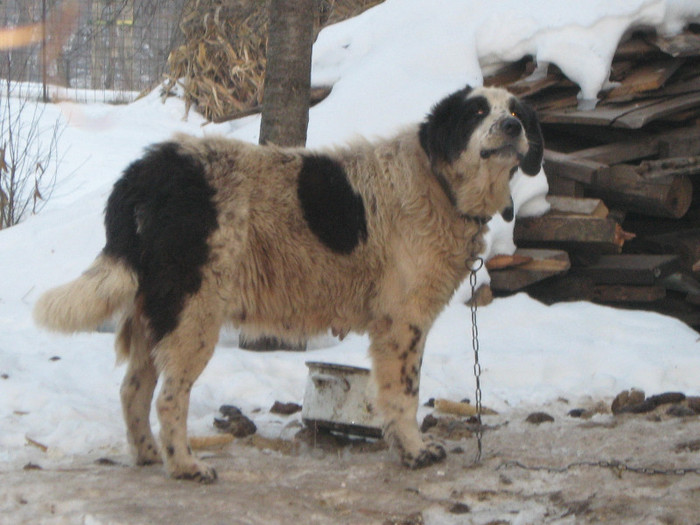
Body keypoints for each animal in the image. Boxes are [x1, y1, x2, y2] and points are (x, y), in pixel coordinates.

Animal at [35, 86, 544, 484]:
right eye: (476, 112)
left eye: (516, 112)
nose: (512, 127)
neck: (439, 184)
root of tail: (149, 169)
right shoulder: (403, 323)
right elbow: (403, 395)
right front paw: (415, 450)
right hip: (193, 314)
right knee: (169, 396)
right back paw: (184, 465)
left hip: (154, 312)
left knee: (133, 390)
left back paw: (147, 455)